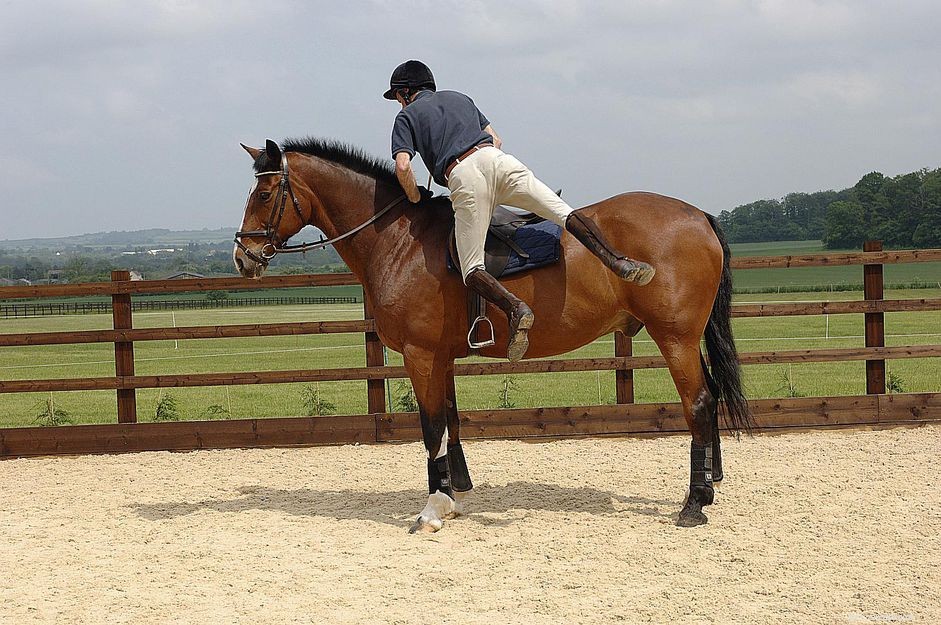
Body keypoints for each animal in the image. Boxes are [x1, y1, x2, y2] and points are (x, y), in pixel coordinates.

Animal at [234, 138, 753, 532]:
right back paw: (709, 485)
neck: (397, 239)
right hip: (685, 339)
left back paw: (692, 503)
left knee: (698, 404)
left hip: (674, 338)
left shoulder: (419, 356)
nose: (242, 257)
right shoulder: (440, 357)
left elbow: (431, 428)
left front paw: (433, 507)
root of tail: (698, 215)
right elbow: (451, 421)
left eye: (264, 195)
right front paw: (455, 491)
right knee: (710, 396)